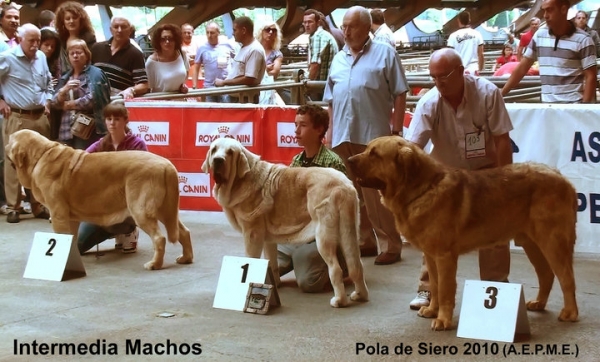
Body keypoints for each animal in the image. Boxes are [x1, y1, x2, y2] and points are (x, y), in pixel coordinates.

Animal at [7, 129, 195, 268]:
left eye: (9, 141)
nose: (5, 145)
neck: (40, 156)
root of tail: (167, 165)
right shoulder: (70, 218)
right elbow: (72, 239)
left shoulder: (58, 215)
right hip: (167, 210)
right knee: (183, 231)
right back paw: (185, 258)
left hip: (140, 210)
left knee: (159, 238)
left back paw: (154, 264)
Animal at [204, 137, 368, 306]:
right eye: (214, 150)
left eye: (230, 152)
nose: (218, 160)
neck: (240, 180)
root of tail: (344, 186)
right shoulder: (267, 239)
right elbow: (271, 262)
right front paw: (274, 284)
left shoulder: (252, 235)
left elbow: (251, 259)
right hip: (349, 232)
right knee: (356, 265)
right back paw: (359, 295)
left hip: (324, 236)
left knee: (336, 269)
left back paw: (339, 301)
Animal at [350, 136, 580, 330]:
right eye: (368, 149)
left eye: (375, 154)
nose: (350, 160)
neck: (423, 189)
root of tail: (564, 179)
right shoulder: (431, 256)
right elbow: (435, 285)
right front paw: (432, 310)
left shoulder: (444, 256)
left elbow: (445, 289)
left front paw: (442, 320)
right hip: (531, 243)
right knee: (547, 274)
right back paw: (539, 303)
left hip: (552, 241)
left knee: (566, 277)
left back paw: (570, 312)